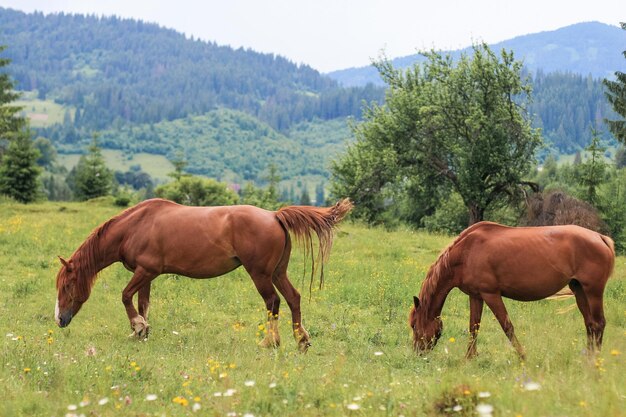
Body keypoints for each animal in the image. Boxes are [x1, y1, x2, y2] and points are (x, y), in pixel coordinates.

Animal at [54, 197, 352, 350]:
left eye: (67, 286)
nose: (60, 320)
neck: (135, 226)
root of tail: (274, 215)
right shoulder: (147, 275)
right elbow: (142, 303)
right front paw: (142, 332)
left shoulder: (145, 271)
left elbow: (126, 296)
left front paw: (137, 327)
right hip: (278, 272)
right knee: (293, 298)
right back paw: (301, 340)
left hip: (260, 275)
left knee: (273, 302)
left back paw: (271, 341)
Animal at [408, 219, 612, 360]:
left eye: (414, 325)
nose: (417, 353)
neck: (467, 252)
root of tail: (600, 238)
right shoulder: (476, 296)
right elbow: (474, 327)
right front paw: (469, 358)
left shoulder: (491, 294)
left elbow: (507, 326)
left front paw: (523, 356)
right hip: (579, 290)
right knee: (590, 324)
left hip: (593, 291)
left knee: (598, 323)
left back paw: (595, 361)